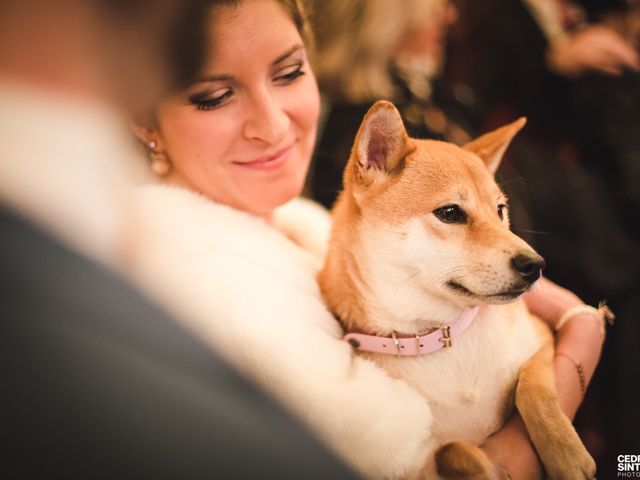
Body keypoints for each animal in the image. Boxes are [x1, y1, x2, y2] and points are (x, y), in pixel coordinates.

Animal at [318, 99, 596, 478]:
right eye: (450, 213)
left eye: (500, 211)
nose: (535, 265)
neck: (441, 332)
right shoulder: (421, 464)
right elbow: (453, 449)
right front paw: (483, 467)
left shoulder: (543, 341)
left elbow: (532, 387)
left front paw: (567, 455)